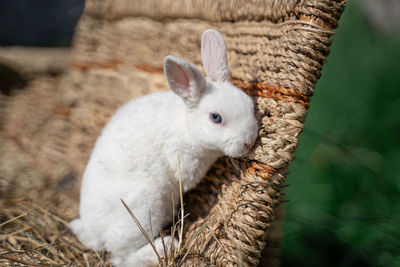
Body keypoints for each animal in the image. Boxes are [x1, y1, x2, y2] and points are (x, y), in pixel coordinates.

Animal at [70, 28, 258, 266]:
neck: (186, 126)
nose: (249, 141)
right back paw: (166, 245)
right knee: (121, 257)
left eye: (250, 104)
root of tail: (90, 230)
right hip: (144, 209)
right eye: (216, 118)